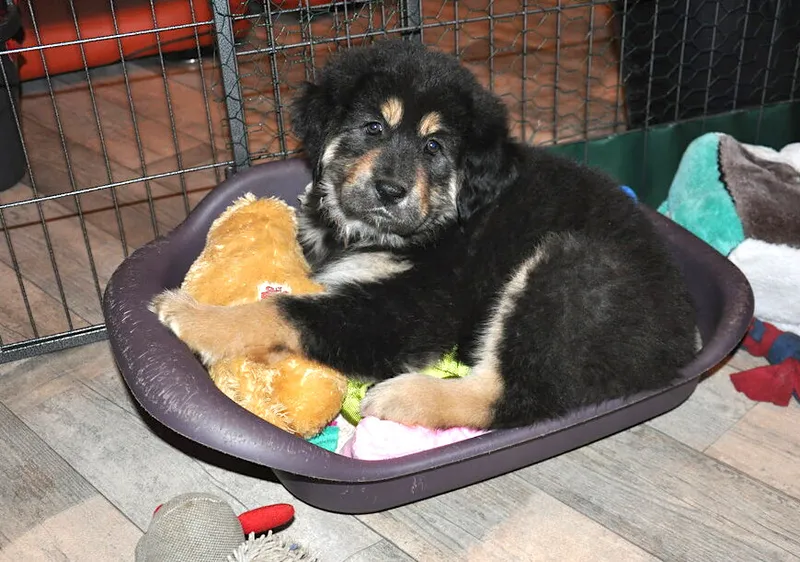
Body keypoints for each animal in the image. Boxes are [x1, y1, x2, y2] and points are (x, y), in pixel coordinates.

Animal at [151, 39, 698, 430]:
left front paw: (195, 317)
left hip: (567, 272)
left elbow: (283, 310)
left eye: (434, 146)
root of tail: (676, 345)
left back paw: (405, 396)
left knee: (516, 396)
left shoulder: (408, 310)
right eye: (373, 127)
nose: (390, 189)